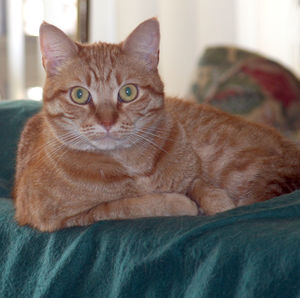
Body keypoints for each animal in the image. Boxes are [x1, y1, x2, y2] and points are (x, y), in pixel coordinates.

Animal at [13, 18, 300, 232]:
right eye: (80, 95)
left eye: (128, 92)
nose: (107, 122)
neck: (132, 164)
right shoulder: (62, 217)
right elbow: (127, 206)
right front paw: (180, 204)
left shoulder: (194, 173)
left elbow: (203, 186)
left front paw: (216, 203)